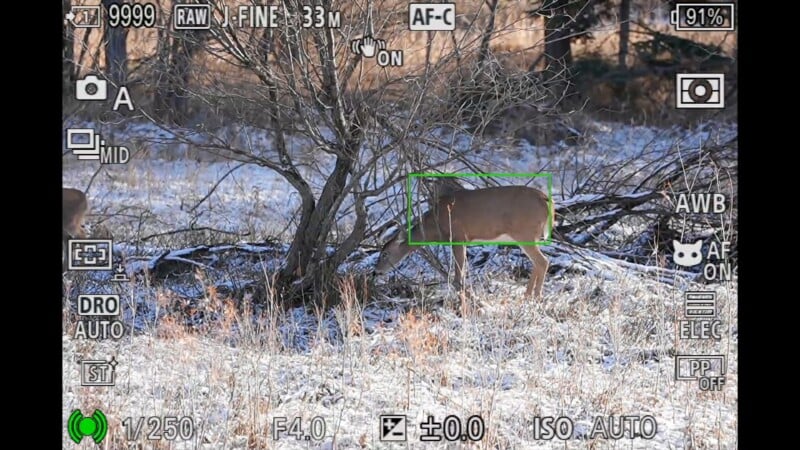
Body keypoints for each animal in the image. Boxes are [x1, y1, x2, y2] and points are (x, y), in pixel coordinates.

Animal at [374, 183, 554, 299]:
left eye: (385, 253)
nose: (376, 271)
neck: (436, 225)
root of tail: (546, 200)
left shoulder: (458, 237)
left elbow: (456, 278)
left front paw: (470, 298)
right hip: (529, 236)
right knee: (538, 262)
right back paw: (528, 295)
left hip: (524, 232)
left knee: (543, 261)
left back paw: (534, 297)